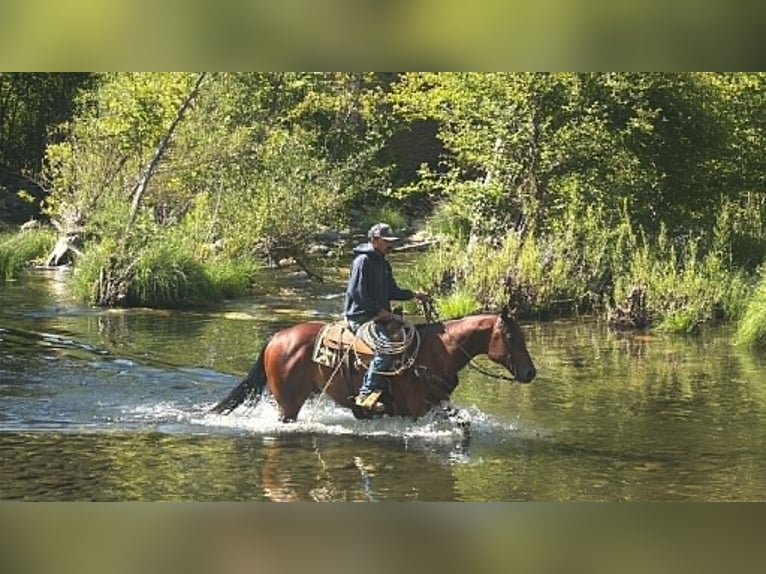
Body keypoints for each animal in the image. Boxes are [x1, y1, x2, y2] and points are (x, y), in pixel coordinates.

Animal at [210, 305, 536, 422]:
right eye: (511, 337)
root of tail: (277, 337)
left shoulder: (437, 402)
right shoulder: (419, 409)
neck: (438, 352)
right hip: (289, 404)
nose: (530, 372)